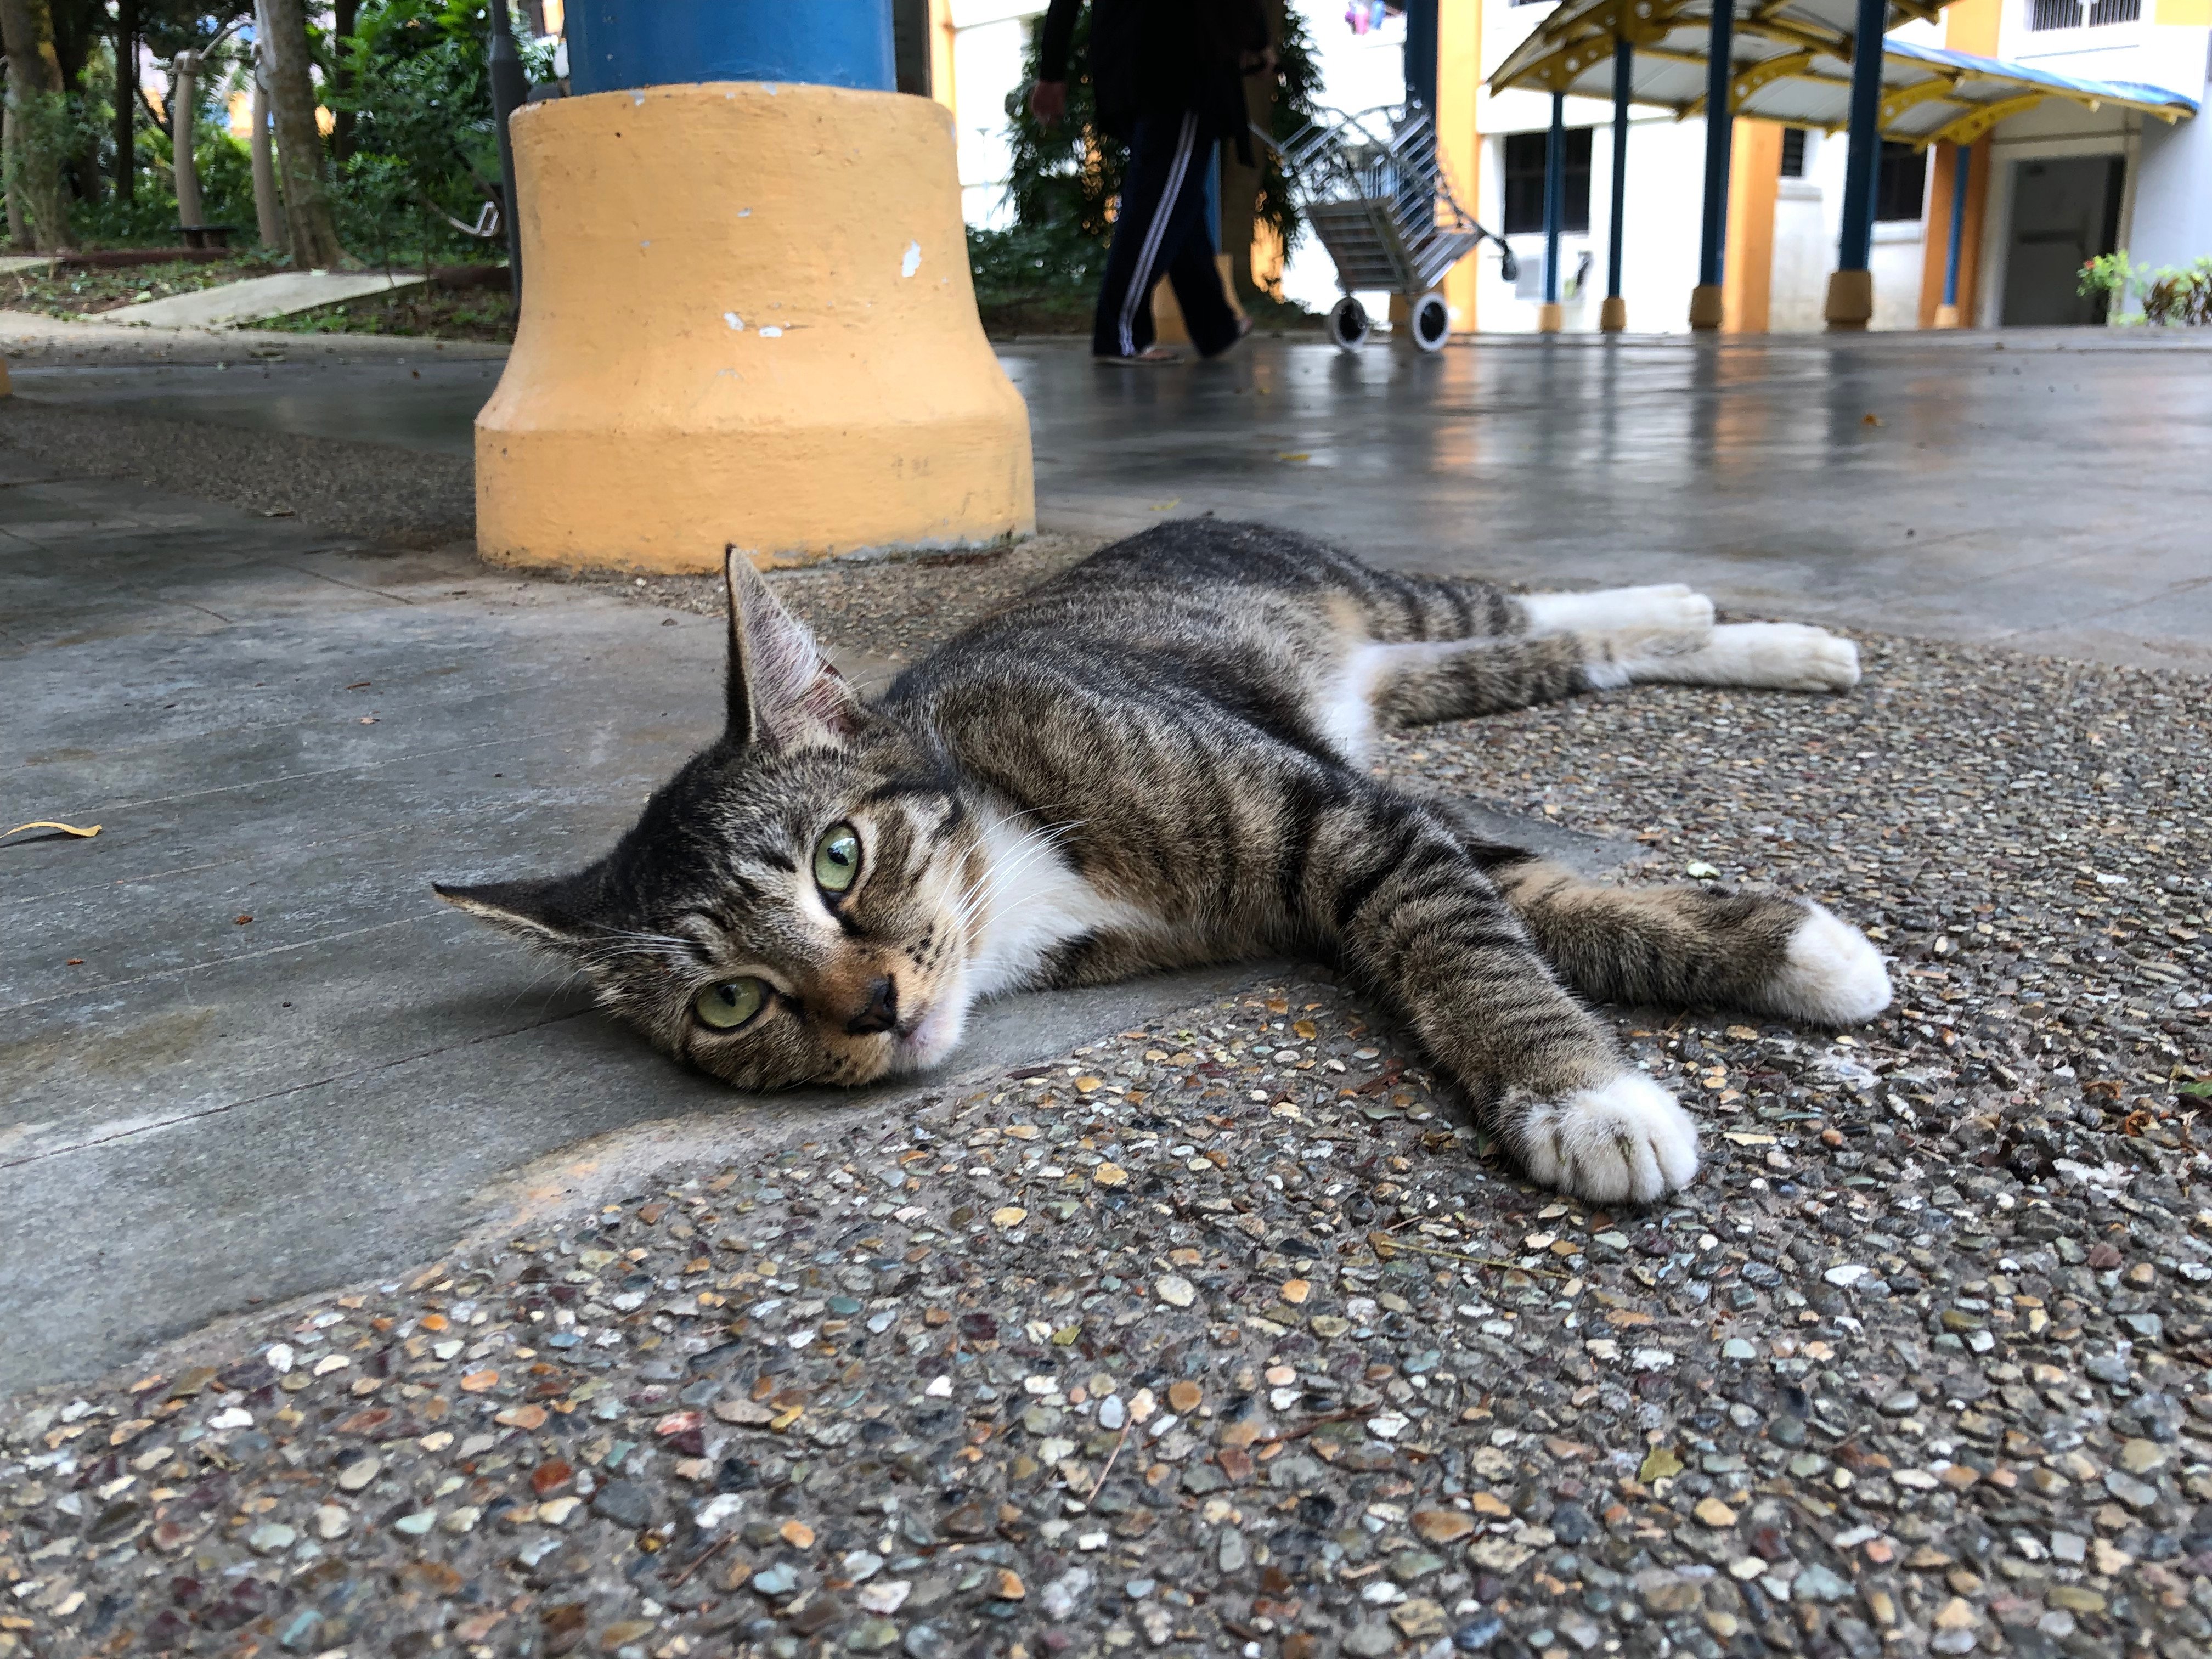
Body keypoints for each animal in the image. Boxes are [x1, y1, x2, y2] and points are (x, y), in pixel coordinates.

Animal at [436, 522, 1884, 1212]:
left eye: (838, 858)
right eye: (730, 1002)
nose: (878, 1010)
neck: (1018, 858)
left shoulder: (1344, 820)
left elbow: (1468, 941)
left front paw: (1586, 1101)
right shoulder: (1370, 834)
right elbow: (1541, 903)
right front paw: (1792, 956)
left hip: (1380, 609)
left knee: (1536, 611)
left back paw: (1730, 617)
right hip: (1414, 681)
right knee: (1560, 655)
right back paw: (1752, 637)